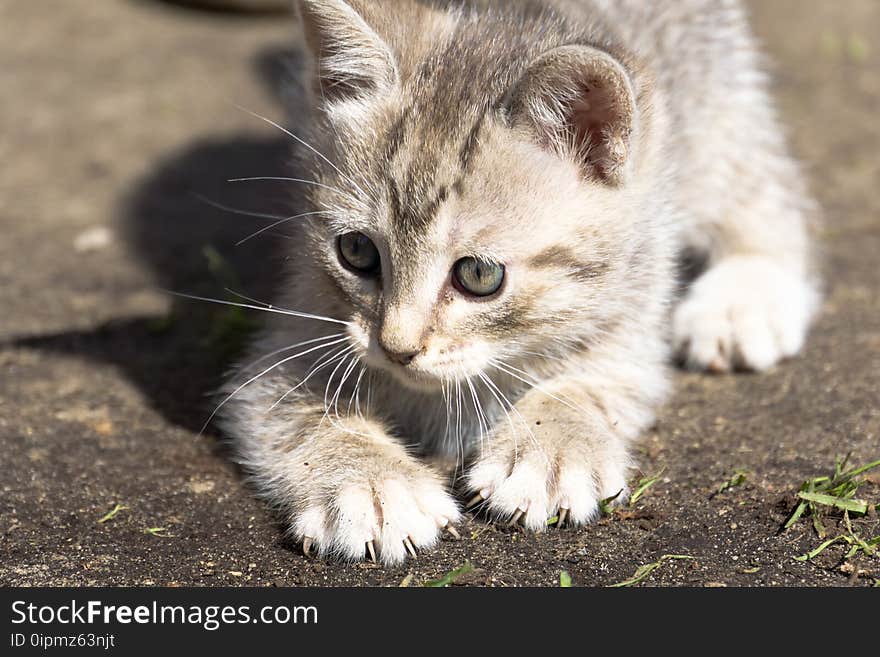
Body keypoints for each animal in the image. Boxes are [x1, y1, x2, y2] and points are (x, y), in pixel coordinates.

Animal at [218, 1, 820, 564]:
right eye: (356, 252)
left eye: (479, 275)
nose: (396, 348)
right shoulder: (297, 326)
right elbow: (294, 410)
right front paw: (370, 483)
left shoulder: (634, 294)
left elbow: (596, 378)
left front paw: (550, 446)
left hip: (715, 100)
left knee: (766, 185)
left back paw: (746, 298)